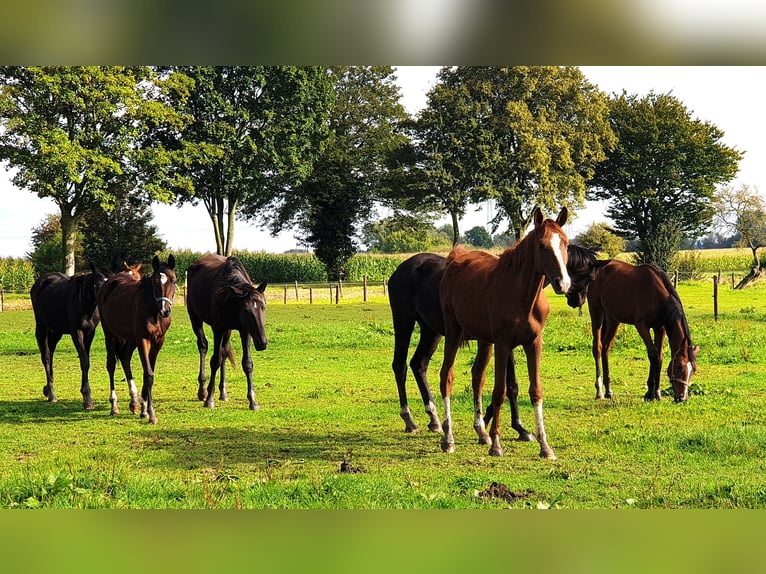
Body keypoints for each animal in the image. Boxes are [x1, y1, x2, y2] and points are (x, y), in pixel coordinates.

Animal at [29, 266, 110, 410]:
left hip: (56, 332)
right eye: (96, 285)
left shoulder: (90, 333)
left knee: (51, 354)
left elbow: (86, 361)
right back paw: (51, 394)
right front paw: (87, 399)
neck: (84, 304)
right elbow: (84, 361)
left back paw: (47, 388)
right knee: (46, 357)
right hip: (42, 328)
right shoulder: (76, 332)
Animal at [97, 254, 178, 426]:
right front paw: (151, 414)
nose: (165, 310)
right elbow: (148, 374)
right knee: (111, 365)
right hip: (111, 335)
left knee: (125, 358)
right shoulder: (143, 339)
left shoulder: (158, 341)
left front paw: (144, 409)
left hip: (129, 339)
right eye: (155, 281)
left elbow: (149, 372)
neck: (153, 311)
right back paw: (114, 406)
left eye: (174, 280)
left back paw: (134, 402)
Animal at [187, 254, 268, 412]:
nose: (262, 343)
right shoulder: (218, 329)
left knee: (224, 352)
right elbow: (215, 361)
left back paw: (223, 392)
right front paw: (209, 399)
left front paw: (253, 401)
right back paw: (202, 391)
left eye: (263, 307)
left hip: (228, 330)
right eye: (247, 310)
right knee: (203, 346)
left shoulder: (244, 331)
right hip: (195, 319)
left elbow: (247, 363)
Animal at [438, 207, 568, 460]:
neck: (523, 297)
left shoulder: (534, 343)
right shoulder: (503, 344)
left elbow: (535, 390)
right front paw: (497, 444)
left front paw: (545, 446)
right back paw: (448, 439)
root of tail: (455, 259)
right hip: (453, 332)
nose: (563, 283)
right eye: (541, 245)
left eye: (565, 243)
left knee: (477, 377)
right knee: (446, 376)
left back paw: (481, 432)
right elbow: (500, 391)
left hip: (483, 341)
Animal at [564, 258, 704, 402]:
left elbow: (659, 357)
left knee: (605, 348)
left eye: (694, 369)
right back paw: (600, 391)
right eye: (679, 366)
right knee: (597, 348)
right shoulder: (641, 326)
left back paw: (609, 391)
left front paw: (656, 392)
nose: (682, 398)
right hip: (597, 313)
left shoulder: (660, 328)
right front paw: (651, 393)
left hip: (613, 320)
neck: (657, 294)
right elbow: (653, 355)